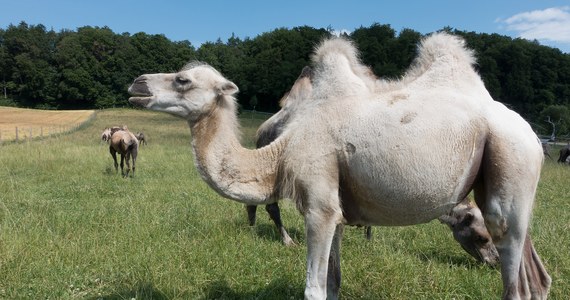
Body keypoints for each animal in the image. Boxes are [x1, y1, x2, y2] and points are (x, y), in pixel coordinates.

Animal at [127, 31, 544, 298]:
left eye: (183, 80)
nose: (136, 84)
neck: (280, 152)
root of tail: (534, 136)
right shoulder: (338, 211)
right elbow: (333, 284)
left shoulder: (319, 205)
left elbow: (313, 288)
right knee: (537, 278)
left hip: (511, 159)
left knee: (516, 282)